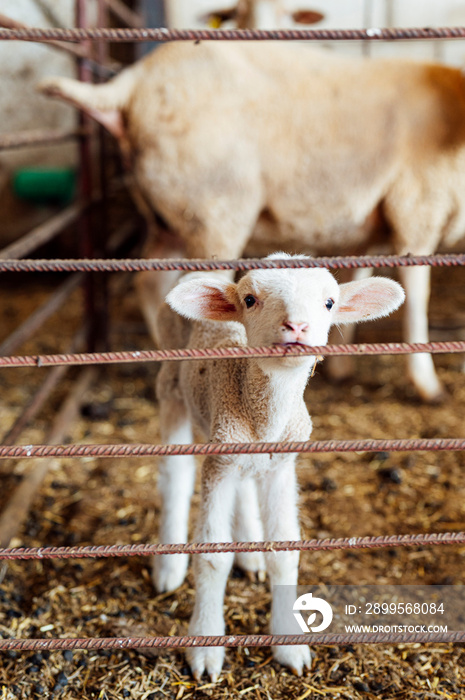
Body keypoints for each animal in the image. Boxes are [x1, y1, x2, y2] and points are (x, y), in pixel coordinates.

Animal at [38, 43, 464, 402]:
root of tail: (132, 82)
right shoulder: (418, 204)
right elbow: (417, 295)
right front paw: (427, 383)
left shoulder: (372, 225)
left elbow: (358, 282)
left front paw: (342, 362)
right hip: (213, 210)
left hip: (168, 219)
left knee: (152, 281)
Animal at [153, 254, 402, 680]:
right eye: (250, 300)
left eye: (329, 303)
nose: (297, 326)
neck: (261, 417)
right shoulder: (220, 460)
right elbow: (213, 557)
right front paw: (205, 644)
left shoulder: (281, 464)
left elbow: (285, 552)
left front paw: (289, 644)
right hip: (171, 388)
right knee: (175, 478)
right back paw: (170, 564)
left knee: (244, 485)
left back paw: (249, 551)